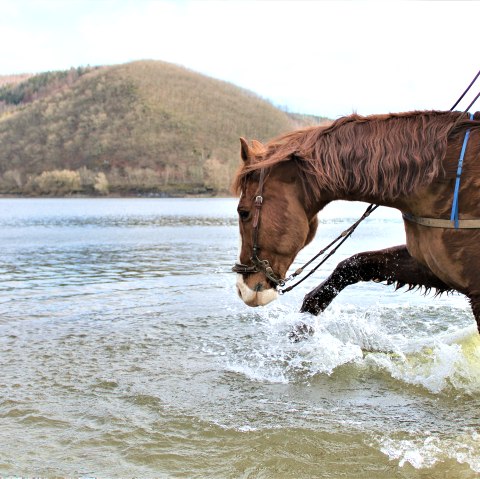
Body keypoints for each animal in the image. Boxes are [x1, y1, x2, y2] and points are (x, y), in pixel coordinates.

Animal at [232, 110, 480, 332]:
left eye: (243, 212)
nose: (242, 289)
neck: (444, 178)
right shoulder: (432, 266)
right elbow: (354, 265)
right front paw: (303, 324)